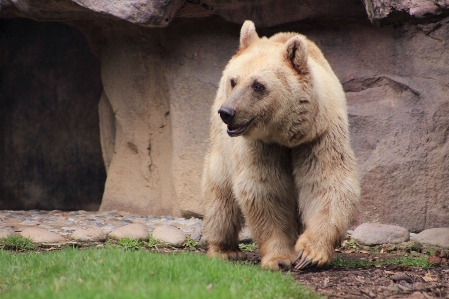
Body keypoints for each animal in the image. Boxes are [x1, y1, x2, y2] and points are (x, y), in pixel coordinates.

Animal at [203, 19, 360, 270]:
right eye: (234, 81)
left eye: (258, 85)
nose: (227, 112)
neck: (287, 134)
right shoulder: (259, 144)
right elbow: (266, 189)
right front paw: (280, 258)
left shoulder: (320, 135)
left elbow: (327, 182)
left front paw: (309, 254)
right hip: (221, 142)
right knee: (221, 191)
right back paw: (224, 249)